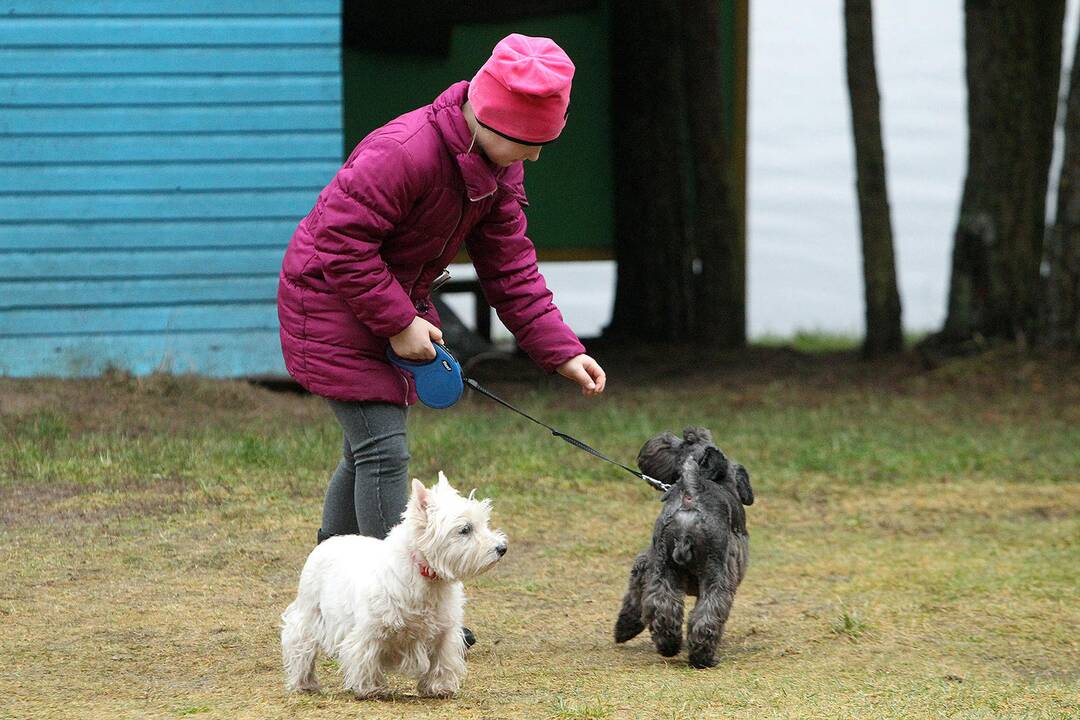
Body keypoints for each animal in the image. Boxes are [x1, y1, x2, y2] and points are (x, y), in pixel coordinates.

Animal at [282, 470, 509, 699]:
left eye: (484, 523)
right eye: (465, 529)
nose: (502, 548)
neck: (425, 575)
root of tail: (329, 541)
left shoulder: (445, 630)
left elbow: (441, 659)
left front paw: (439, 687)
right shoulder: (369, 630)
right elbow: (366, 657)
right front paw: (370, 688)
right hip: (310, 613)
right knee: (300, 643)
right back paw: (304, 682)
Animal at [613, 427, 756, 669]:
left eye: (682, 445)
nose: (655, 443)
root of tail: (692, 494)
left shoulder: (646, 564)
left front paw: (625, 628)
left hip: (663, 568)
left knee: (662, 605)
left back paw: (668, 644)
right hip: (715, 577)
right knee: (707, 616)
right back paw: (702, 657)